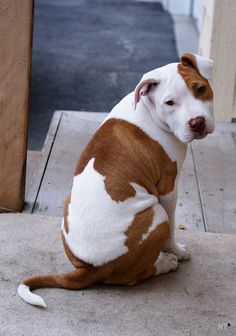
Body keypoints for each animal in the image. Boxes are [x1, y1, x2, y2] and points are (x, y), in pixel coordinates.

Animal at [17, 52, 215, 308]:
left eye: (200, 89)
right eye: (169, 103)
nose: (197, 122)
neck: (148, 110)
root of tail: (89, 270)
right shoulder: (168, 189)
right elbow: (173, 229)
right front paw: (178, 252)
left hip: (67, 204)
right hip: (156, 215)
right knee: (136, 276)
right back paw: (165, 263)